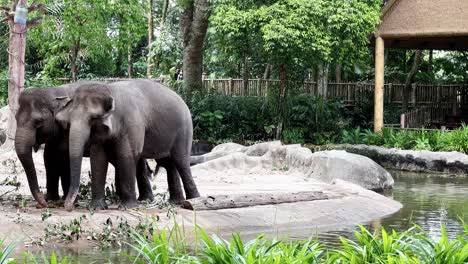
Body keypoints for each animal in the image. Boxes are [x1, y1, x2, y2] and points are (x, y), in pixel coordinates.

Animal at [14, 82, 154, 208]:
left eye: (38, 121)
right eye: (15, 118)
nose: (43, 204)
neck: (54, 91)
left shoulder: (66, 131)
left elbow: (64, 157)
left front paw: (67, 200)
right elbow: (49, 158)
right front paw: (51, 200)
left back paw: (145, 199)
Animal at [55, 79, 200, 211]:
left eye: (92, 119)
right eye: (68, 121)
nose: (69, 207)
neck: (109, 89)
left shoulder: (132, 123)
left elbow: (126, 155)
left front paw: (128, 207)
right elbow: (97, 158)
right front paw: (96, 208)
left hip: (184, 131)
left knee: (181, 162)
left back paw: (193, 201)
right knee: (169, 163)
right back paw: (176, 202)